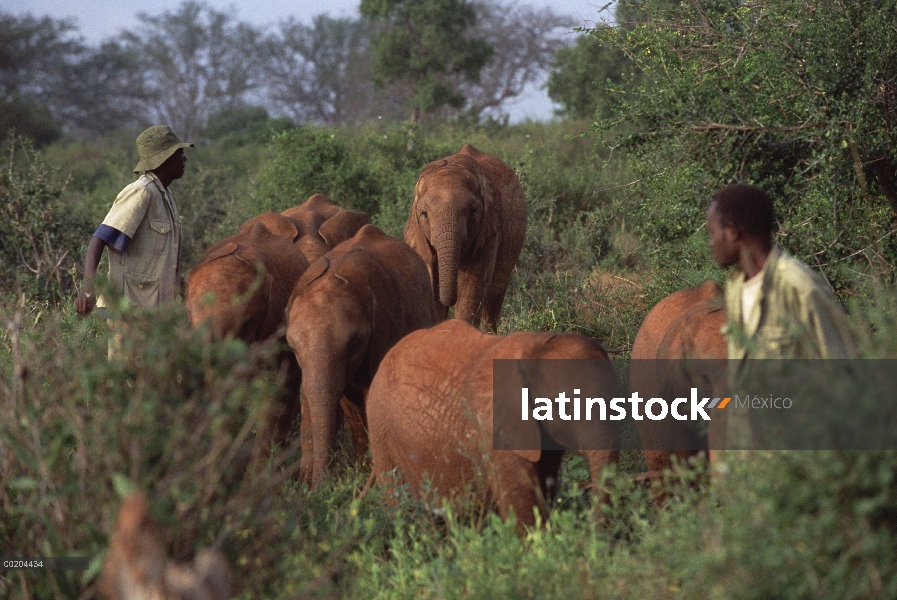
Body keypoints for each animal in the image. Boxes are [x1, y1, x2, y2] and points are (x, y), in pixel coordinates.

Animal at [404, 144, 524, 332]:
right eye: (424, 214)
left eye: (473, 211)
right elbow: (430, 279)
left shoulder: (488, 230)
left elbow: (472, 284)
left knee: (495, 295)